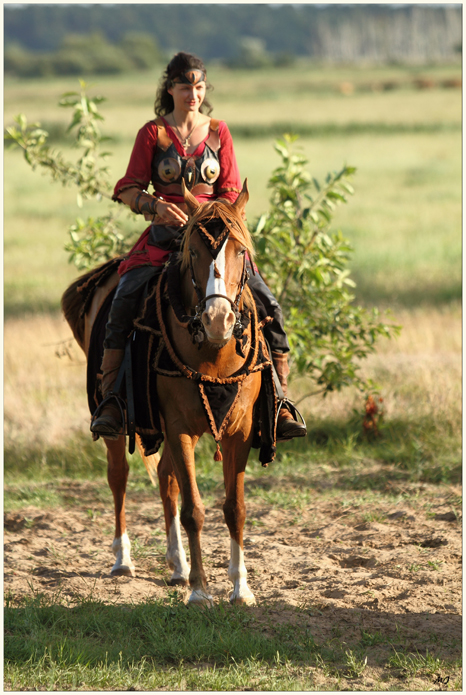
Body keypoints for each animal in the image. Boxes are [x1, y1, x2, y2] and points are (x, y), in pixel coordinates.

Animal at [61, 182, 270, 608]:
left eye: (240, 251)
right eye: (193, 253)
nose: (218, 320)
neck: (214, 353)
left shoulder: (238, 432)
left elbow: (235, 508)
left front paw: (240, 588)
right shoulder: (179, 428)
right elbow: (194, 510)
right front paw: (200, 592)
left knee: (164, 479)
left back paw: (178, 565)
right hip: (121, 423)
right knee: (119, 477)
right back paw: (124, 559)